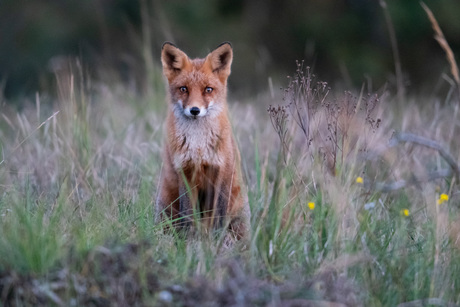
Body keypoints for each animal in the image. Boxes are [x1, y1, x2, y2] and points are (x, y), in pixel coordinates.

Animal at [155, 42, 250, 242]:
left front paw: (218, 241)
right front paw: (188, 240)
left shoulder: (222, 170)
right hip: (166, 205)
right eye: (184, 89)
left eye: (208, 89)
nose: (195, 110)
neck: (198, 144)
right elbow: (188, 214)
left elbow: (219, 214)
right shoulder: (185, 170)